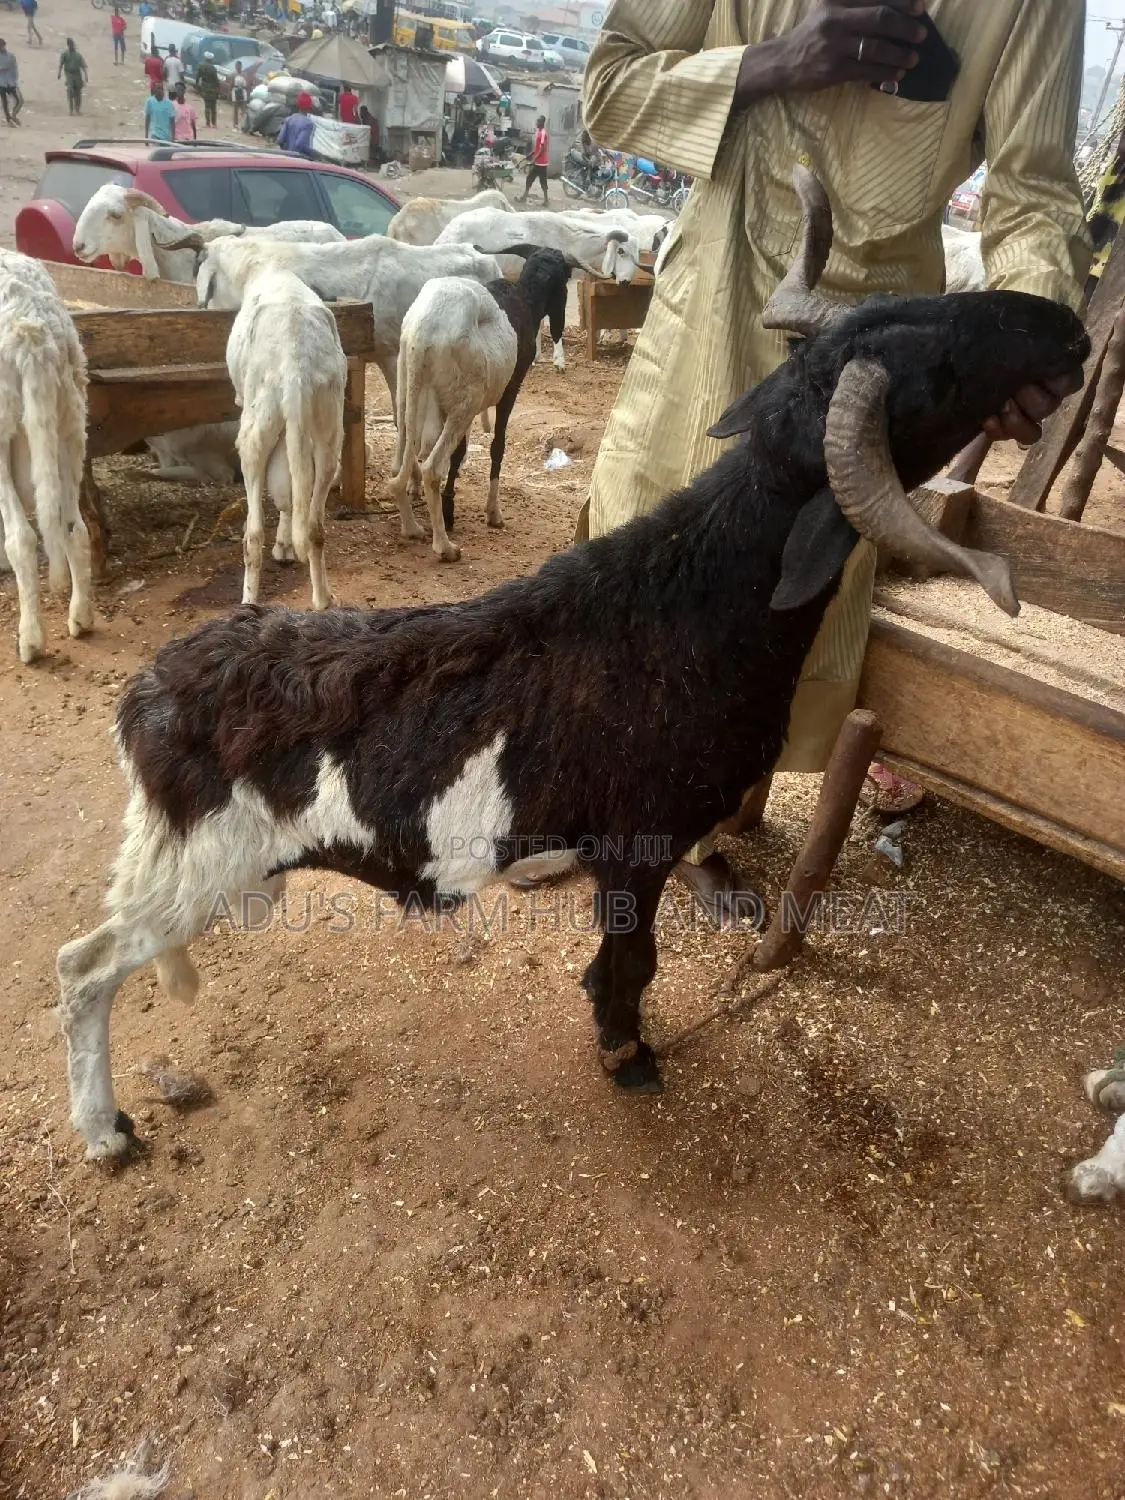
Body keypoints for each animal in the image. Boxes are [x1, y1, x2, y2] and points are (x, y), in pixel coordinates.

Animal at [198, 239, 347, 610]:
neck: (266, 267)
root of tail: (296, 363)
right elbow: (286, 487)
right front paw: (286, 546)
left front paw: (282, 546)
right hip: (327, 428)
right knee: (314, 526)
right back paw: (322, 598)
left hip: (254, 430)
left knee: (252, 534)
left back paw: (249, 600)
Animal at [388, 249, 571, 560]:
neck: (525, 298)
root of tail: (424, 331)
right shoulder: (510, 388)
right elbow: (497, 446)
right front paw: (492, 513)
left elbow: (460, 452)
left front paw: (449, 509)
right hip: (463, 403)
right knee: (432, 468)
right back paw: (444, 546)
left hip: (409, 392)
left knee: (403, 460)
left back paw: (412, 526)